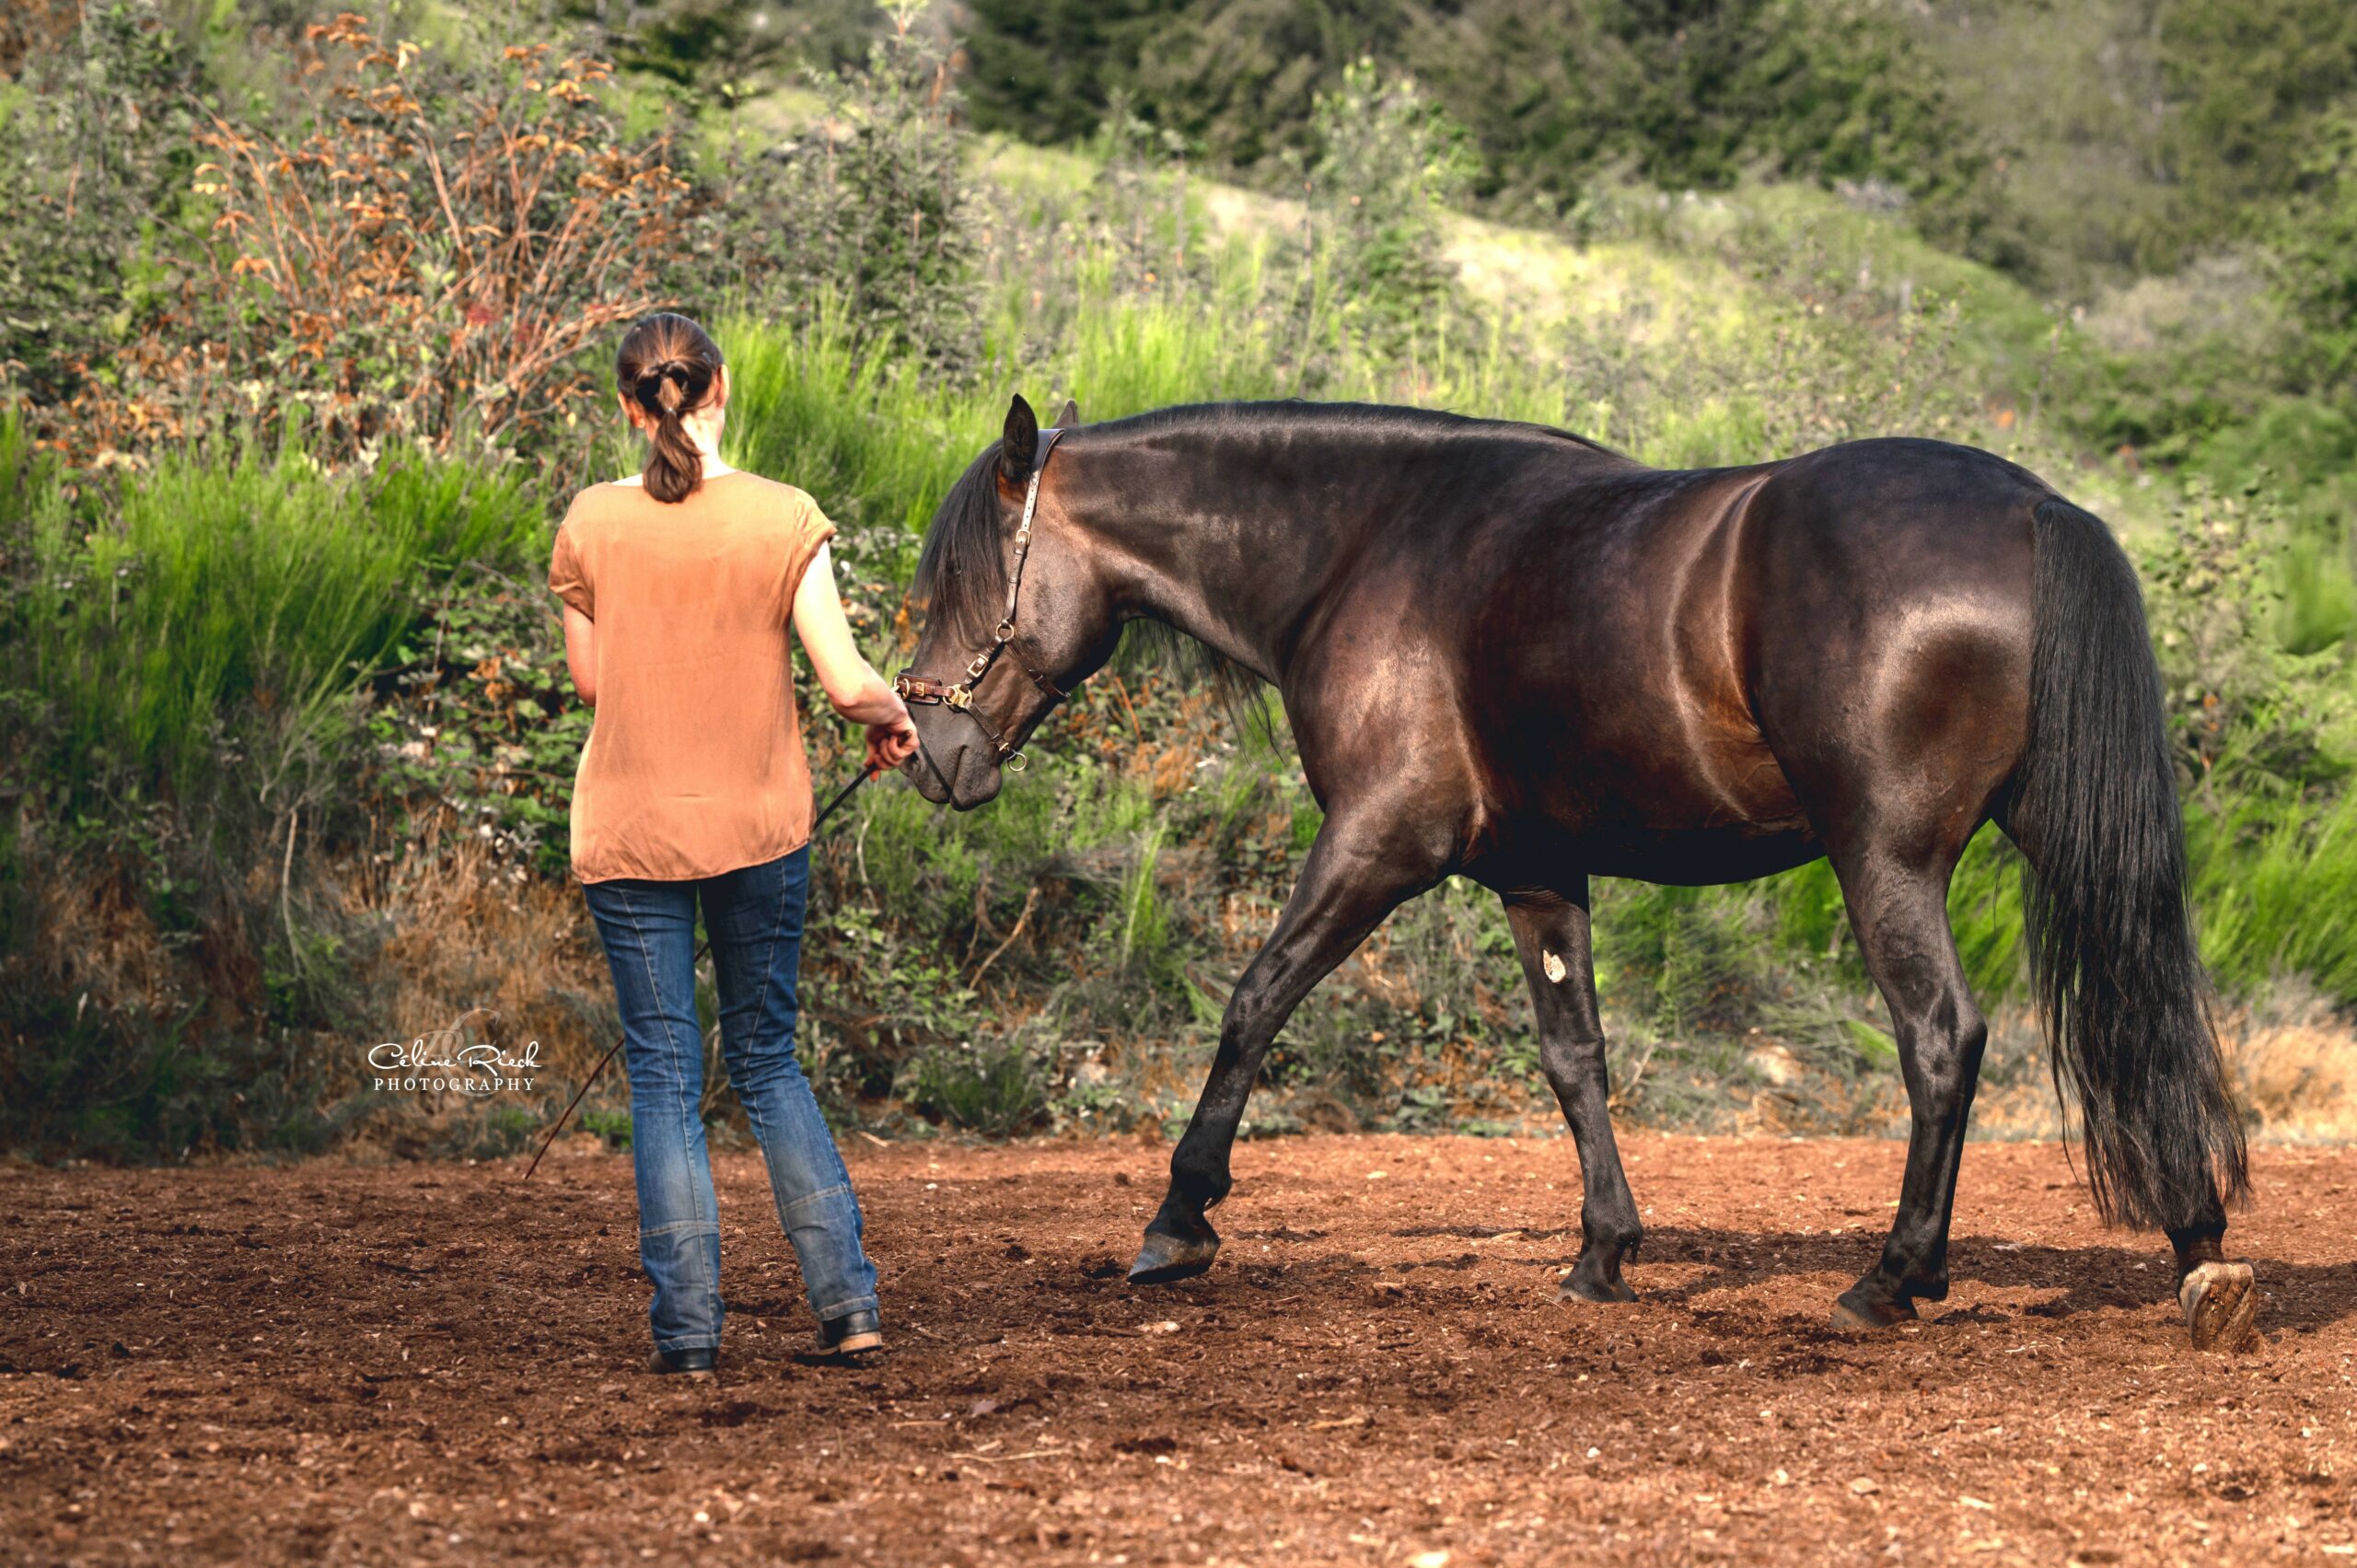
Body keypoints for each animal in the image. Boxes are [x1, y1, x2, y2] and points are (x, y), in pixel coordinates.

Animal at [893, 393, 2256, 1350]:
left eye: (961, 575)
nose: (926, 751)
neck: (1367, 547)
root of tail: (2033, 508)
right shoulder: (1539, 876)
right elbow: (1574, 1058)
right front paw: (1604, 1252)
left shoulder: (1378, 842)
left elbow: (1254, 1001)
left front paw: (1177, 1221)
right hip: (2056, 841)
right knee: (2144, 1014)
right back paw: (2198, 1246)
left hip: (1886, 856)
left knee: (1941, 1037)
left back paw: (1891, 1277)